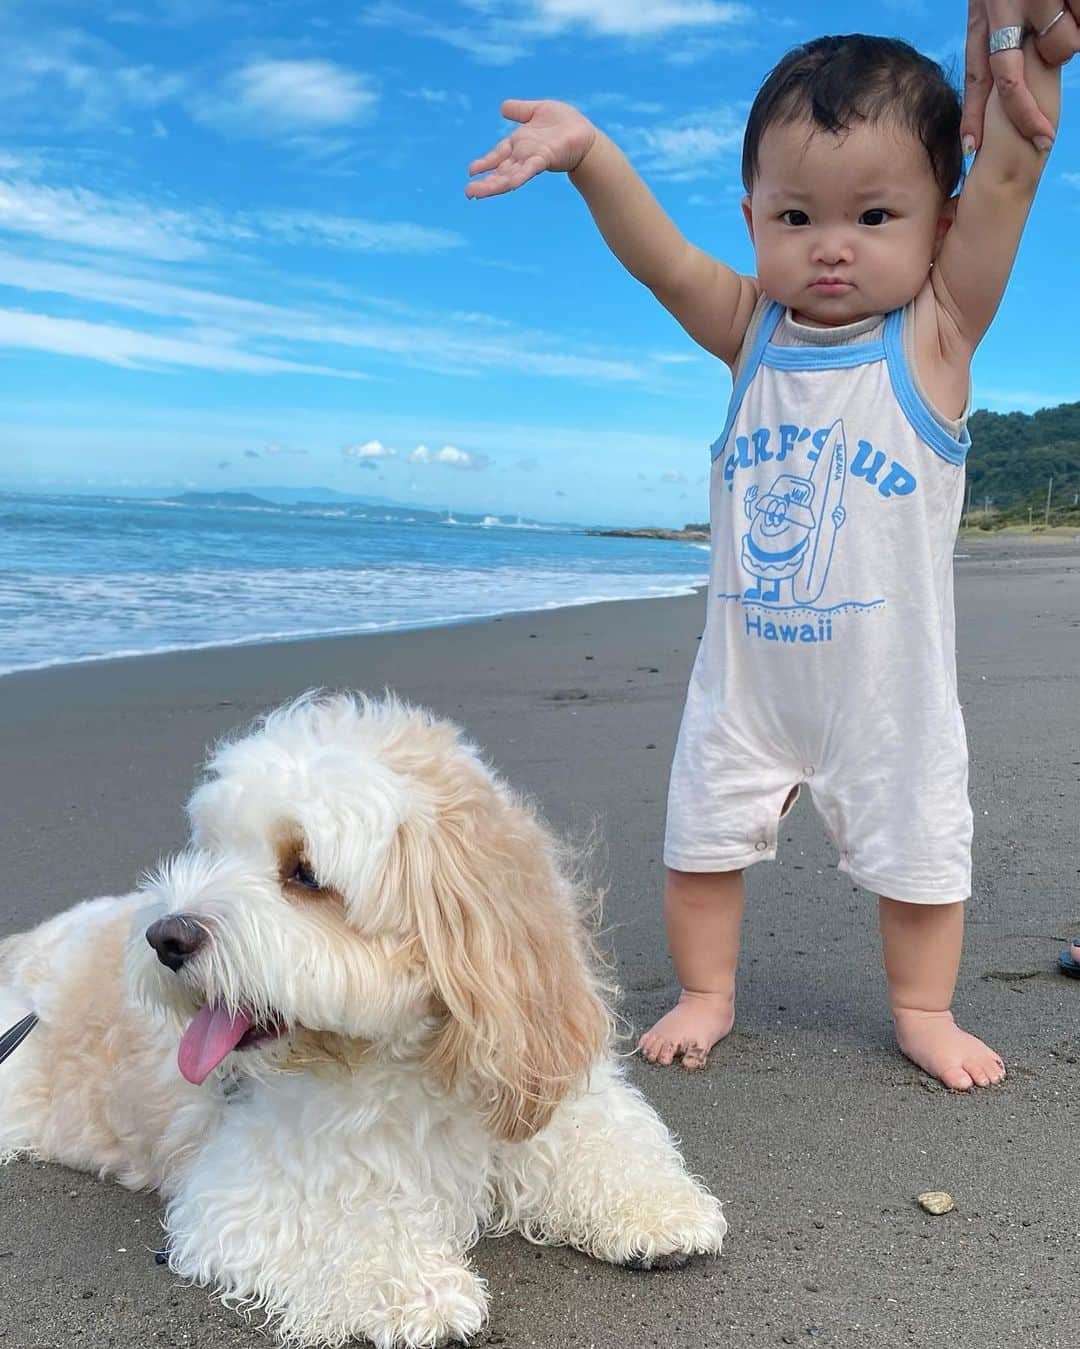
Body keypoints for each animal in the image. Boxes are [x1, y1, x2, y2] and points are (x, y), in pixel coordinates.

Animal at [2, 696, 722, 1349]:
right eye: (210, 849)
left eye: (304, 871)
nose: (164, 936)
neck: (395, 1055)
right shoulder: (253, 1184)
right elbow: (347, 1228)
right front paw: (414, 1289)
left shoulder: (536, 1086)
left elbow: (600, 1144)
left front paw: (655, 1206)